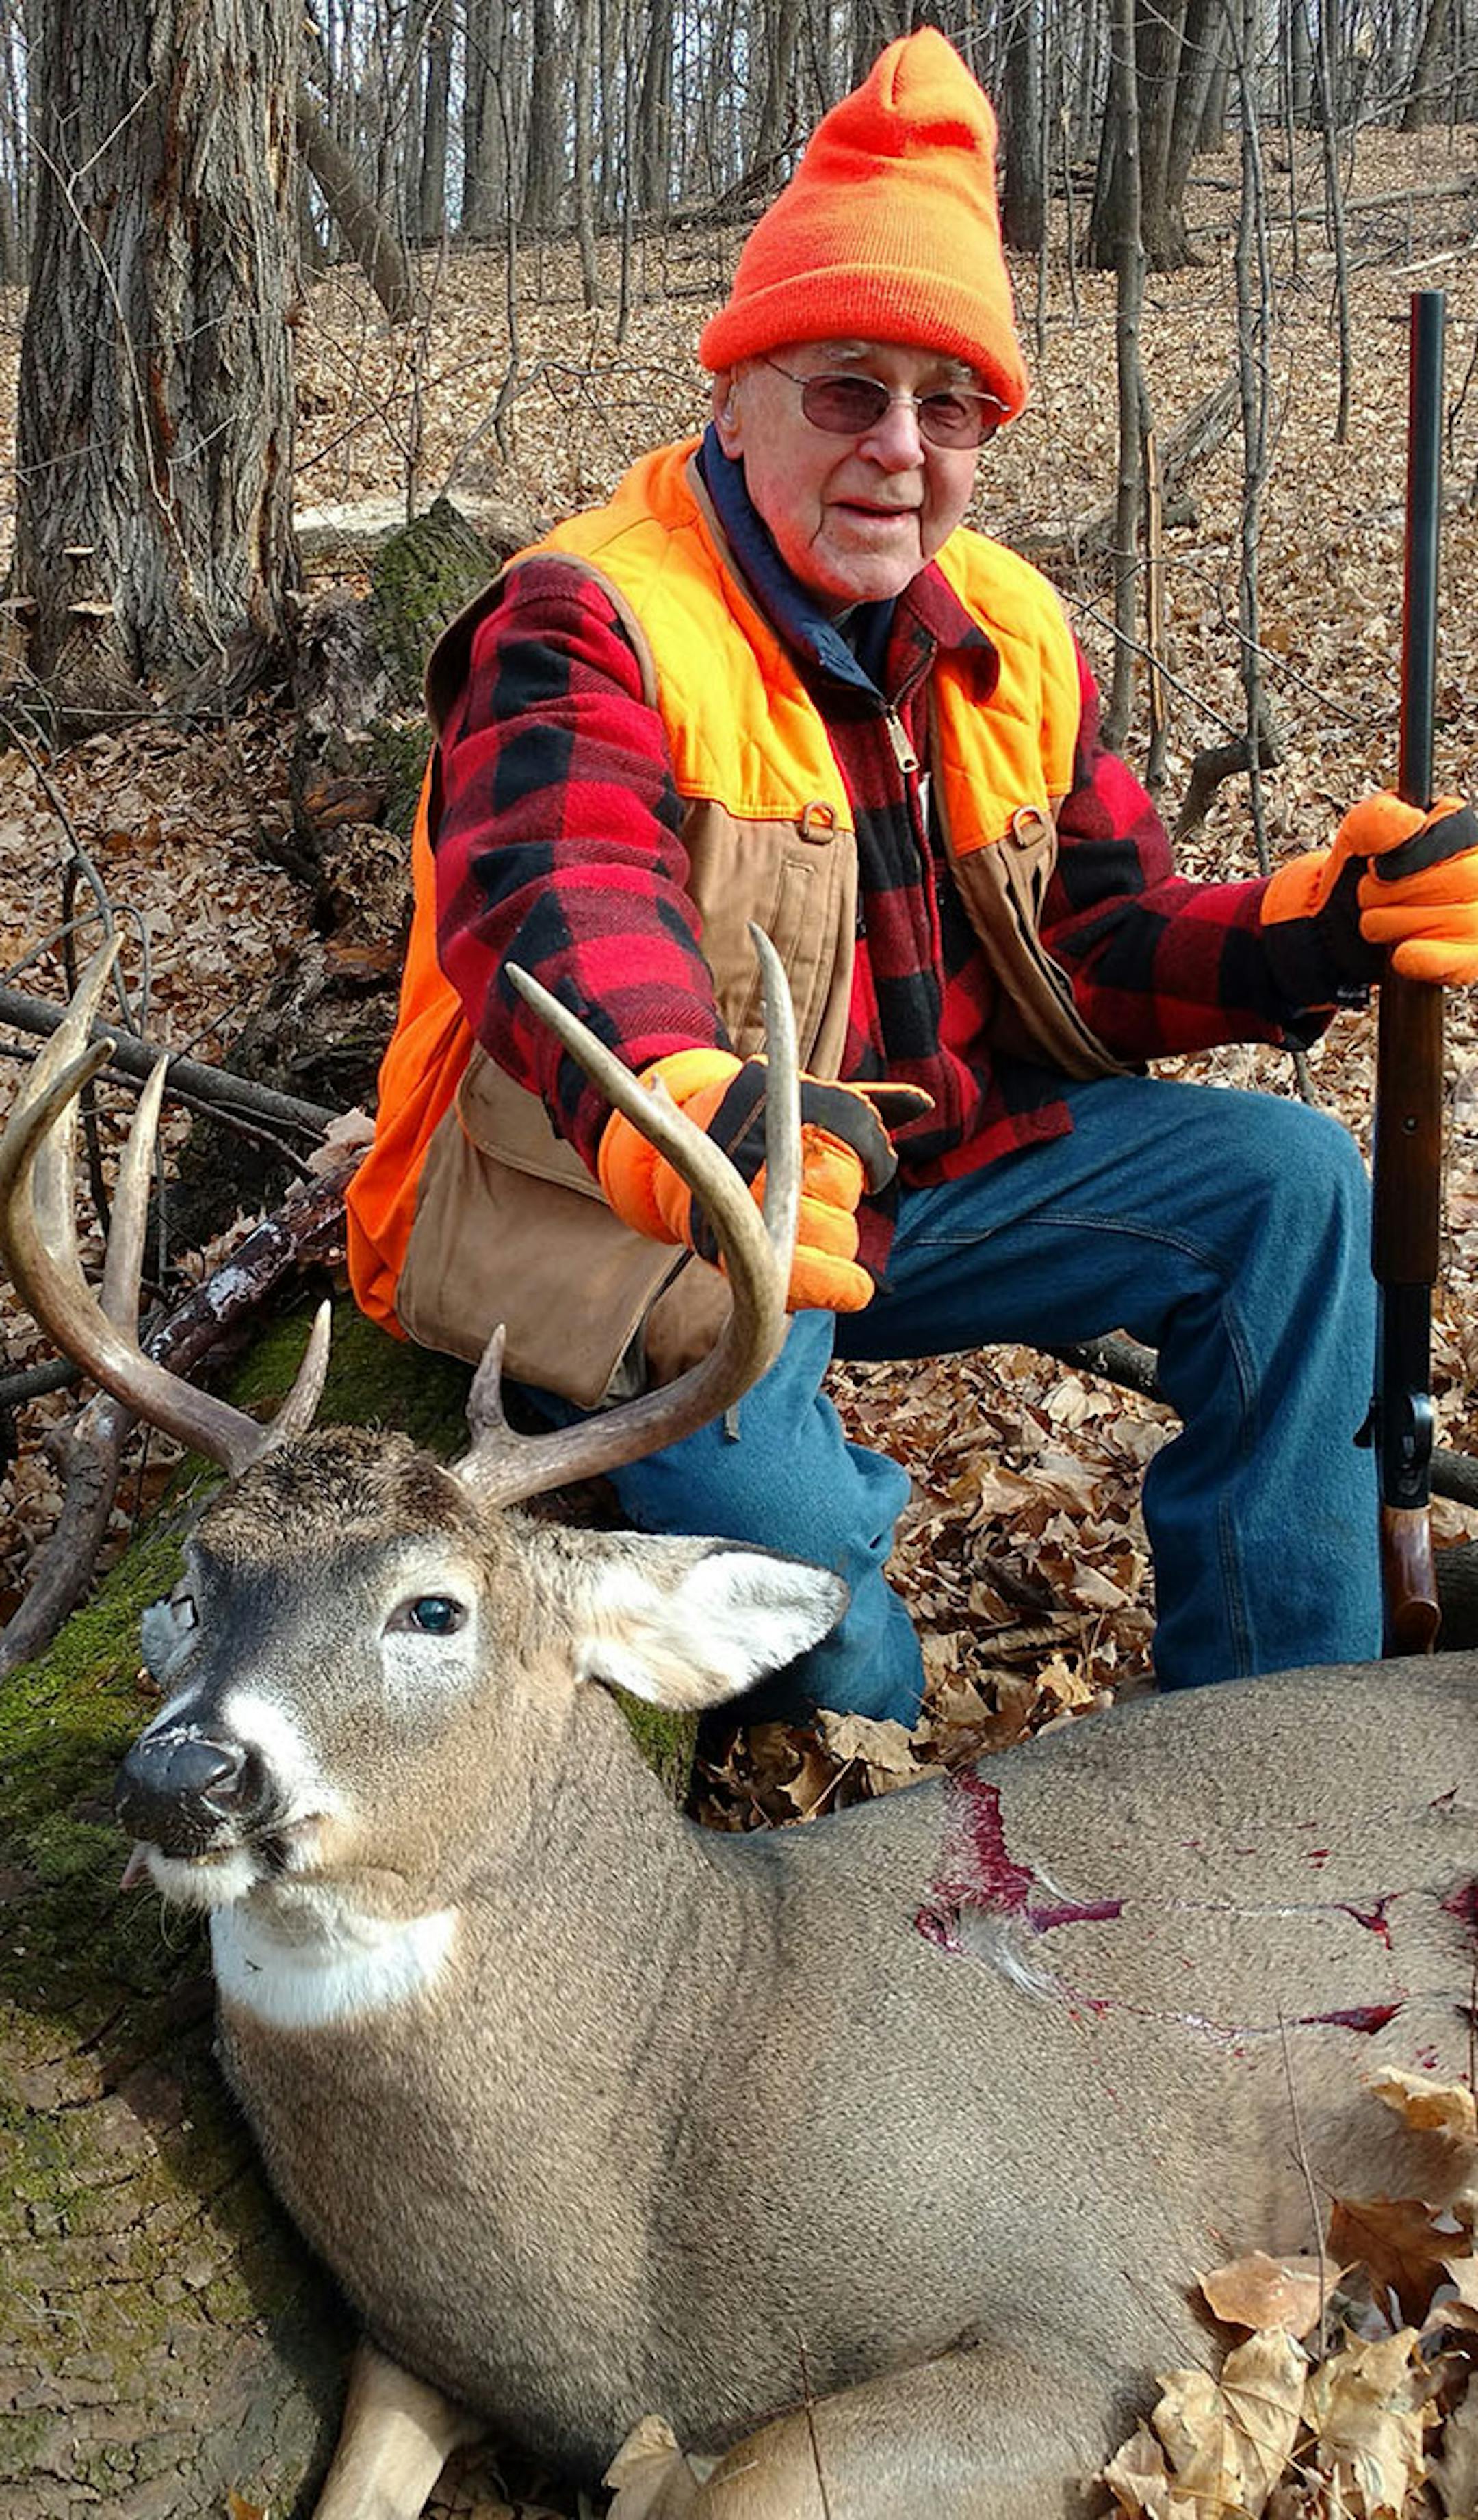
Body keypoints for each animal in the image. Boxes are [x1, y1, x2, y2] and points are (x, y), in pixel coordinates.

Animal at [3, 935, 1477, 2520]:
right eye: (194, 1585)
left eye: (434, 1608)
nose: (184, 1767)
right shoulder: (411, 2349)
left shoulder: (1095, 2298)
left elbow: (748, 2476)